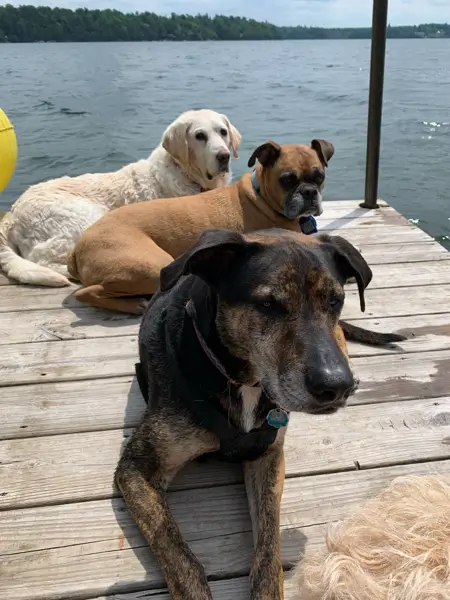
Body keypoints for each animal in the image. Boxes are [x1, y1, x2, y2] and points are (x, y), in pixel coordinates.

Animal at [0, 109, 241, 288]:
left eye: (223, 132)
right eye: (200, 136)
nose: (224, 156)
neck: (188, 175)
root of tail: (12, 213)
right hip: (82, 218)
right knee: (42, 257)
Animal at [67, 140, 334, 314]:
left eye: (319, 177)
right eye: (287, 180)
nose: (309, 192)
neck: (262, 197)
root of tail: (78, 248)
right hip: (151, 267)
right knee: (85, 293)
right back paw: (133, 305)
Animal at [115, 227, 404, 600]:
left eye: (335, 301)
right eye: (267, 304)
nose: (335, 386)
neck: (240, 377)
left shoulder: (268, 456)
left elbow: (268, 547)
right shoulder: (136, 470)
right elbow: (178, 554)